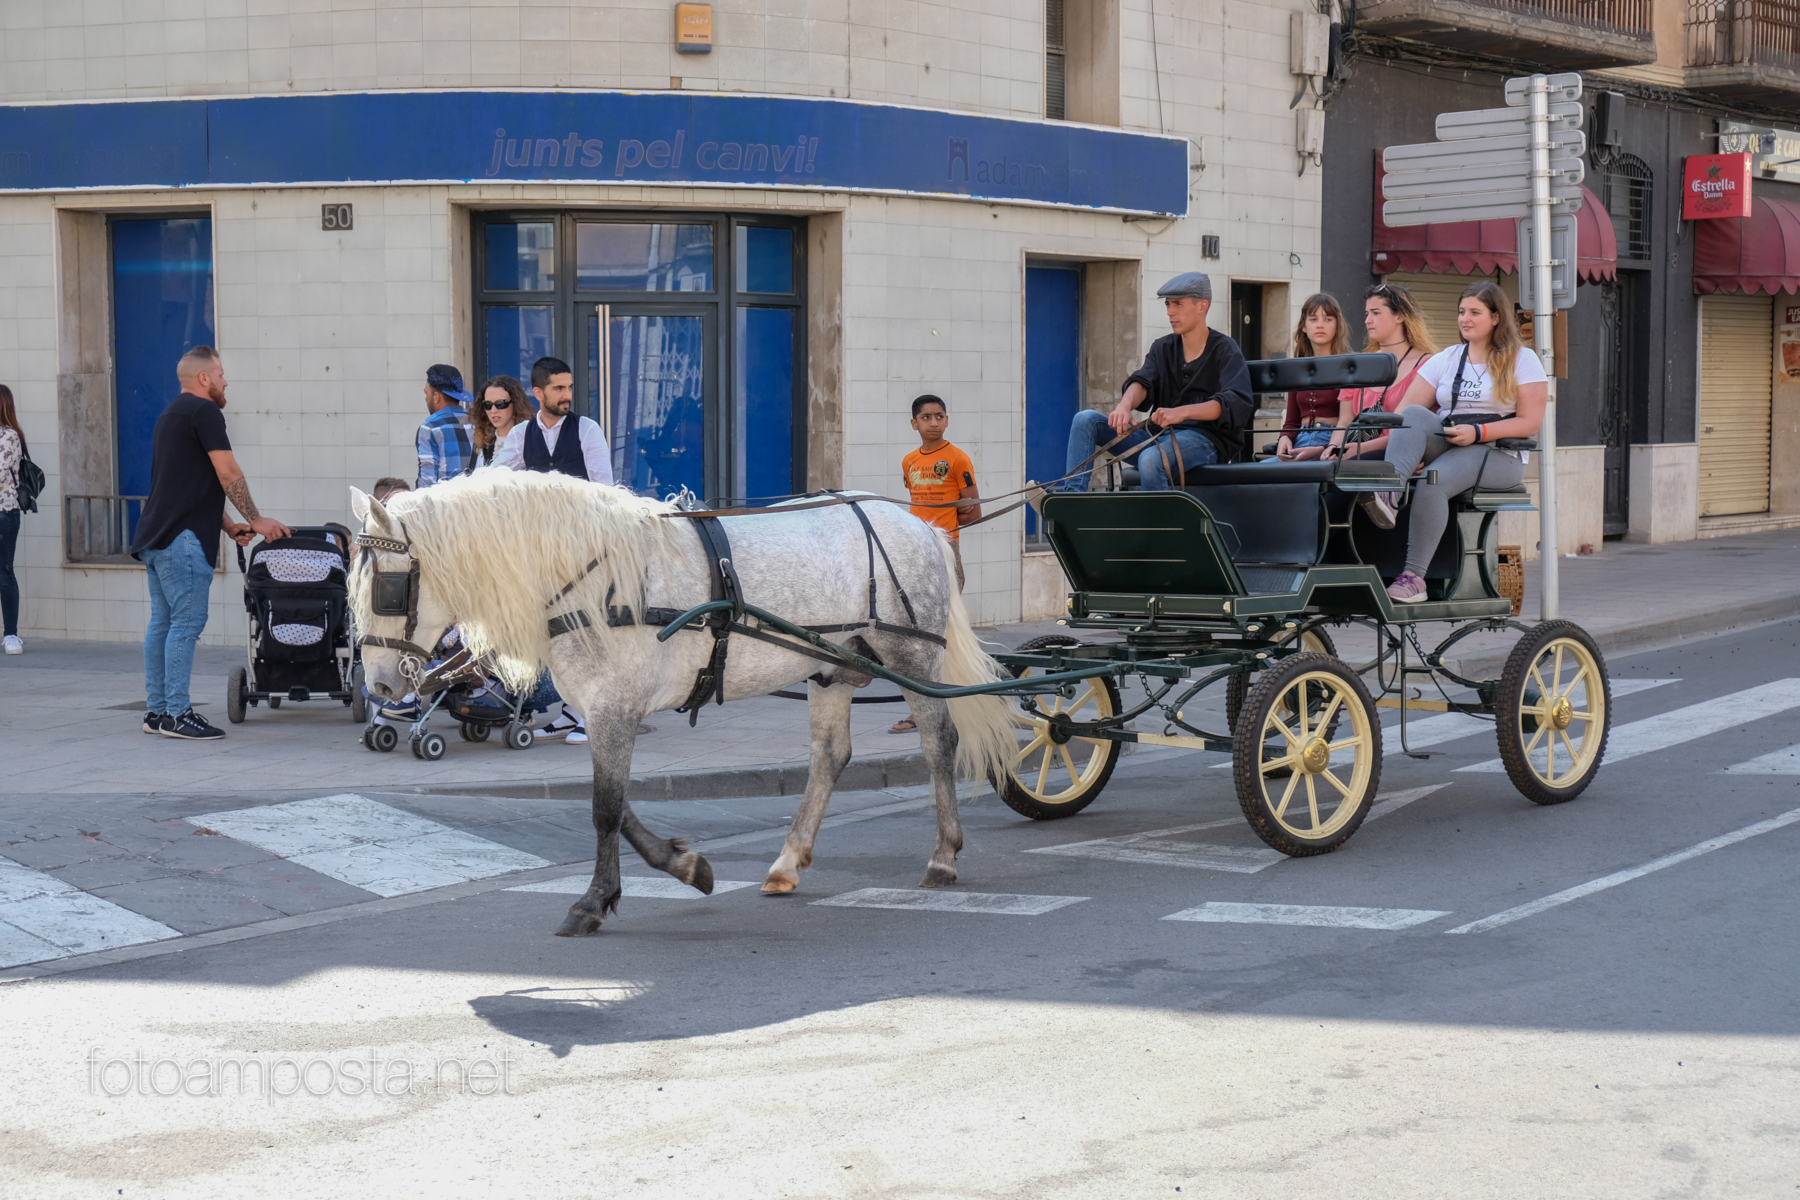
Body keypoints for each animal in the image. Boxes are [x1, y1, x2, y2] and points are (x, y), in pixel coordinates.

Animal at [345, 471, 1022, 935]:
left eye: (388, 587)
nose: (380, 689)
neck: (592, 577)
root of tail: (919, 525)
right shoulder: (605, 711)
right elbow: (616, 806)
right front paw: (685, 867)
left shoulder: (614, 707)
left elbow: (604, 810)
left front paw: (594, 901)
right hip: (832, 668)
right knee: (831, 755)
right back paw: (787, 862)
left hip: (910, 658)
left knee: (938, 741)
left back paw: (943, 856)